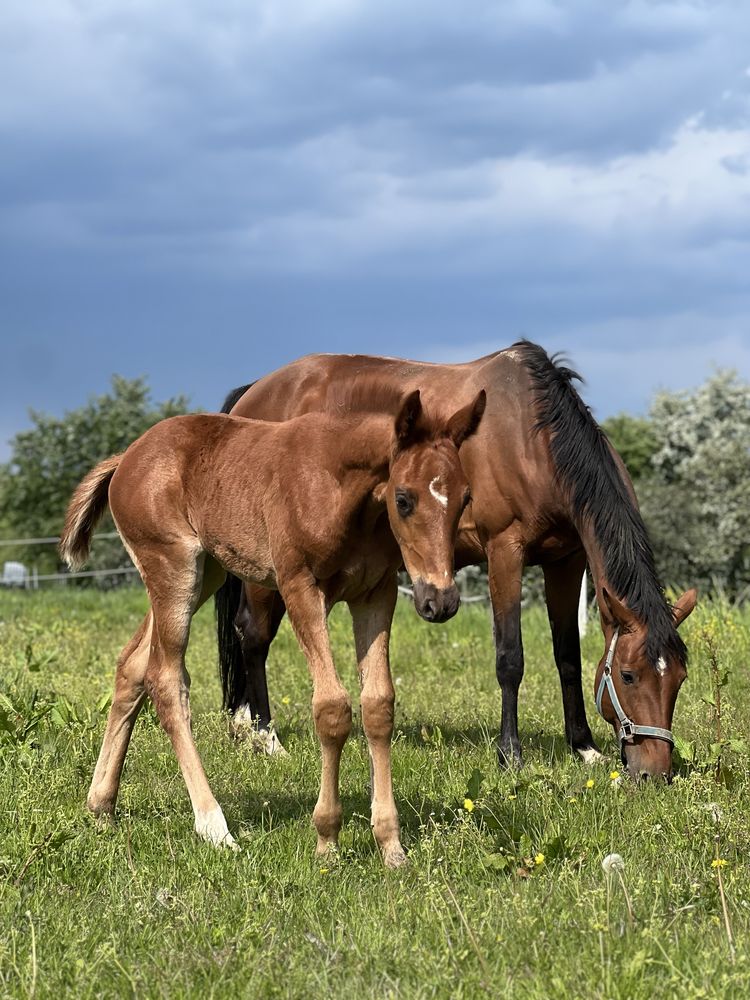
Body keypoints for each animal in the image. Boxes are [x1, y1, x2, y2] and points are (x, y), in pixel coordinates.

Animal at [60, 386, 488, 864]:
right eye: (404, 499)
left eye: (465, 498)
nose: (441, 600)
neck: (344, 491)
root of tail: (127, 458)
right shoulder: (299, 586)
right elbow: (332, 708)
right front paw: (327, 839)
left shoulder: (376, 594)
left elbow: (378, 704)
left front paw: (391, 846)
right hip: (172, 568)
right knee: (166, 679)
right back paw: (214, 826)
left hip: (204, 573)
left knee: (132, 665)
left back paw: (102, 806)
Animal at [217, 340, 700, 776]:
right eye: (628, 675)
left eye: (678, 678)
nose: (656, 773)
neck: (534, 440)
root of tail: (253, 391)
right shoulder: (504, 552)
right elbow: (510, 658)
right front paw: (510, 756)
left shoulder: (566, 561)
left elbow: (567, 655)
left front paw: (583, 748)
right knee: (254, 634)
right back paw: (265, 737)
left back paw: (243, 727)